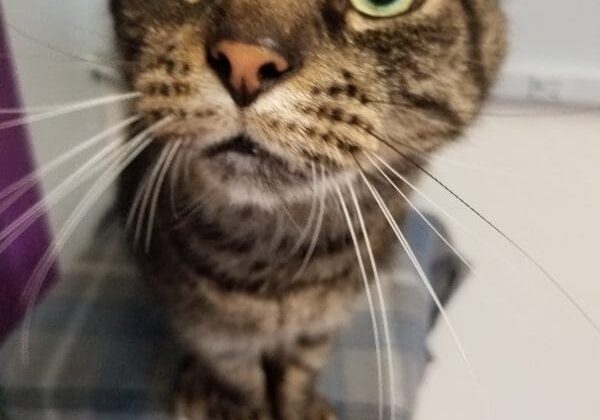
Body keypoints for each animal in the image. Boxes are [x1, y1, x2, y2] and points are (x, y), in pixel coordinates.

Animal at [110, 0, 504, 418]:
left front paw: (300, 406)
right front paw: (241, 405)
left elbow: (300, 374)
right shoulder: (213, 334)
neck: (276, 258)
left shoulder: (322, 326)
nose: (246, 60)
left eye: (383, 5)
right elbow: (239, 380)